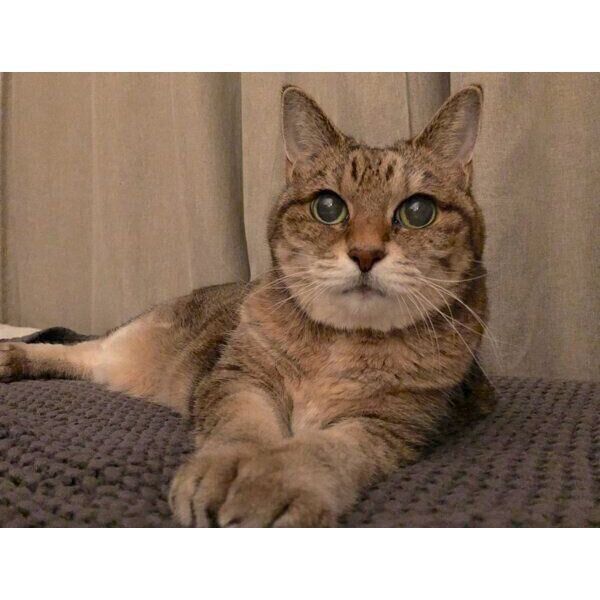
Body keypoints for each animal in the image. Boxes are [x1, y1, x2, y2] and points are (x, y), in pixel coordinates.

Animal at [0, 84, 495, 527]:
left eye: (418, 212)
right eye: (328, 207)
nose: (366, 253)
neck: (340, 344)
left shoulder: (390, 424)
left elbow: (322, 450)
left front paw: (276, 482)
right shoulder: (239, 379)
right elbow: (243, 429)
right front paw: (228, 470)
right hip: (127, 340)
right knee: (77, 349)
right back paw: (14, 355)